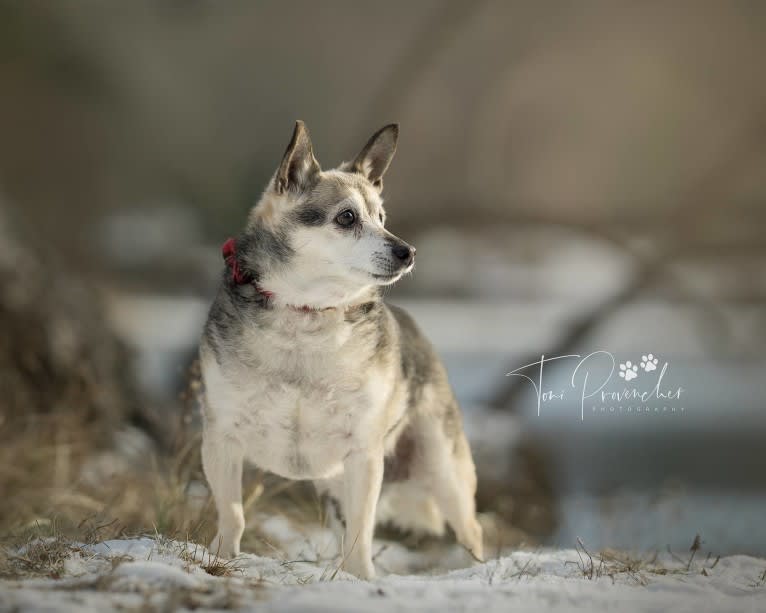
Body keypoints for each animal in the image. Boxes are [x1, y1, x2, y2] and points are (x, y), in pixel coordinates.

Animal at [201, 120, 484, 580]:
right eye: (346, 217)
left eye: (382, 219)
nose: (408, 251)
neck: (307, 314)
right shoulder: (221, 438)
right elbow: (233, 512)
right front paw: (221, 559)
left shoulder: (363, 454)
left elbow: (361, 529)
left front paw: (361, 578)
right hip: (336, 483)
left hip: (444, 469)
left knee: (470, 529)